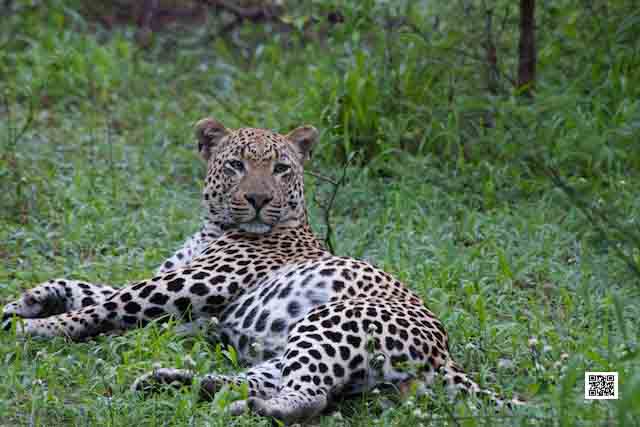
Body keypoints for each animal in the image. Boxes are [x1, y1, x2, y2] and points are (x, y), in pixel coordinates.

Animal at [2, 118, 521, 424]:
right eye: (235, 165)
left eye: (281, 169)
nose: (257, 198)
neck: (212, 226)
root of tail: (445, 354)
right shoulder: (183, 286)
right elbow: (92, 288)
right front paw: (28, 300)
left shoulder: (195, 282)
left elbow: (109, 302)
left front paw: (32, 327)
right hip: (298, 349)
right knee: (287, 384)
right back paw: (178, 383)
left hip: (331, 320)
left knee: (309, 399)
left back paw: (238, 405)